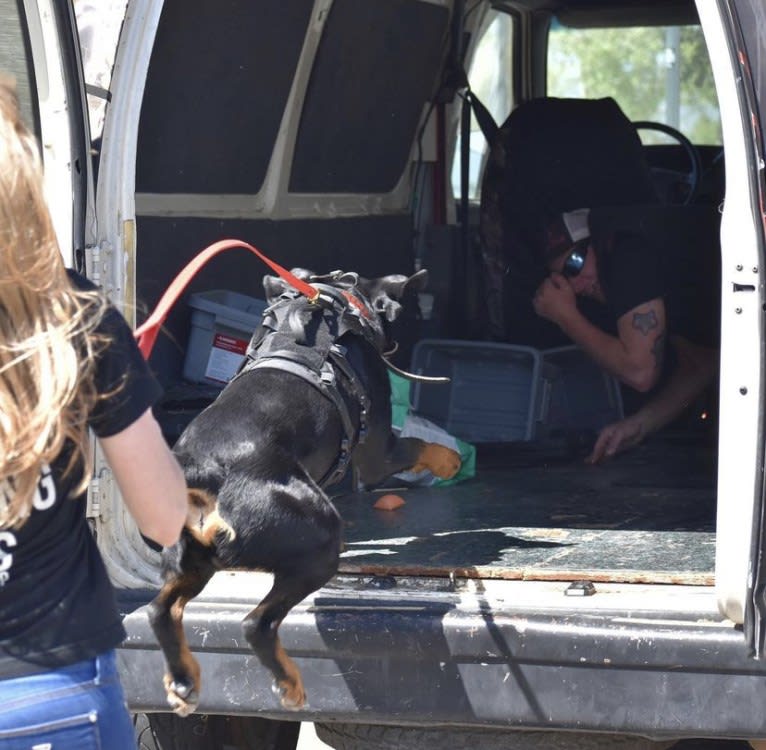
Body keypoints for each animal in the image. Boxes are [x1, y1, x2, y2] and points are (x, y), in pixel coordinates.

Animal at [150, 270, 462, 716]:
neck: (343, 300)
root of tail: (205, 472)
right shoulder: (378, 454)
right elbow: (417, 445)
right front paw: (450, 460)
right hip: (317, 542)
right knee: (256, 623)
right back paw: (289, 684)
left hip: (193, 559)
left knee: (162, 610)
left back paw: (183, 680)